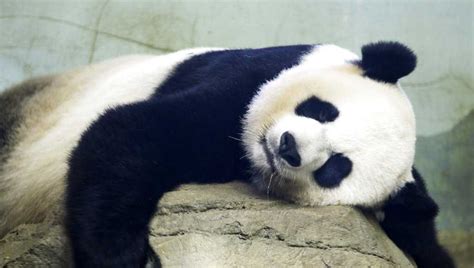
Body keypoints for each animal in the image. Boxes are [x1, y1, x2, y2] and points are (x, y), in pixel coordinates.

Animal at [0, 40, 452, 266]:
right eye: (322, 110)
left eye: (336, 168)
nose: (288, 148)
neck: (247, 155)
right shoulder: (248, 79)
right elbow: (131, 130)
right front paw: (122, 257)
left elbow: (419, 231)